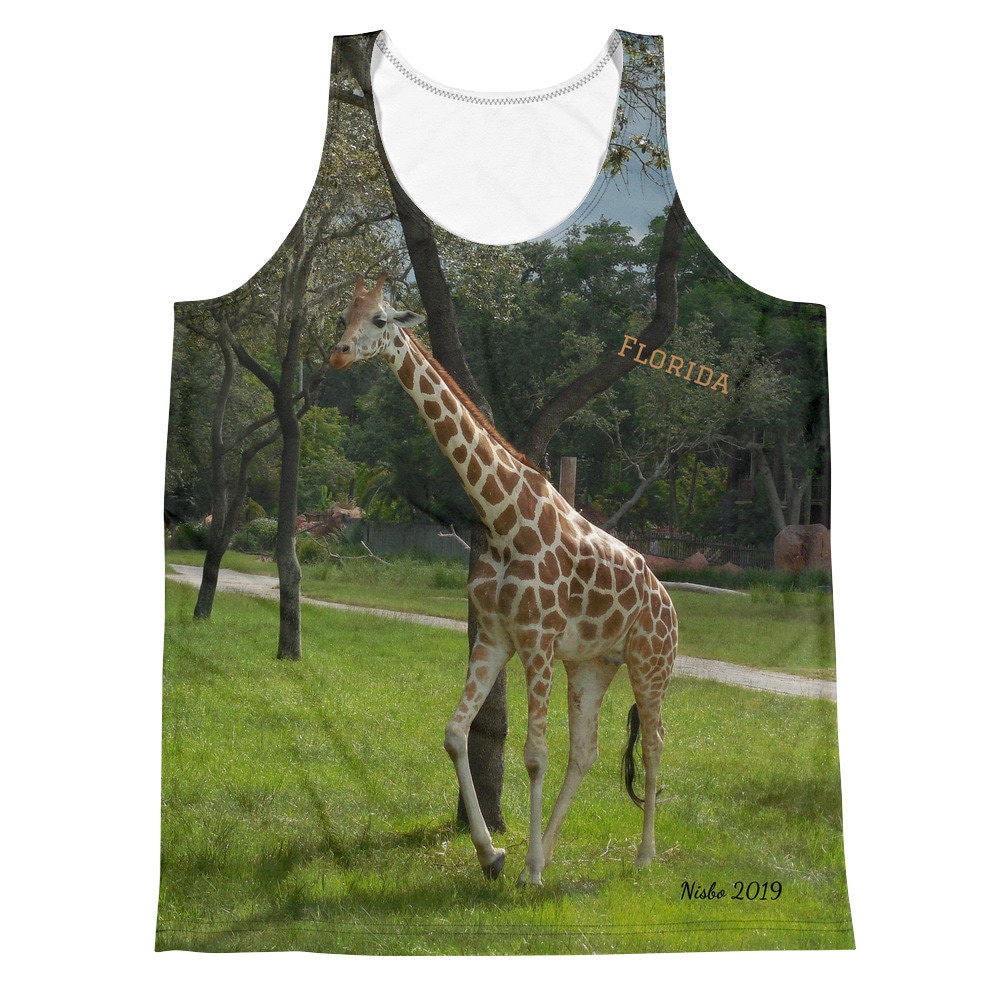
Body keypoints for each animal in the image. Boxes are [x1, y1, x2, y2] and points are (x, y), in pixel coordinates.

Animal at [330, 274, 678, 885]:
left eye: (380, 320)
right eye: (341, 315)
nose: (340, 354)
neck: (499, 515)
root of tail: (672, 606)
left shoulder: (537, 640)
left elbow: (534, 755)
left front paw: (526, 869)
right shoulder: (494, 636)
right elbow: (454, 733)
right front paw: (493, 855)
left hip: (650, 663)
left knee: (654, 744)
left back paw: (640, 857)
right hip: (593, 664)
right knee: (586, 750)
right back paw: (550, 851)